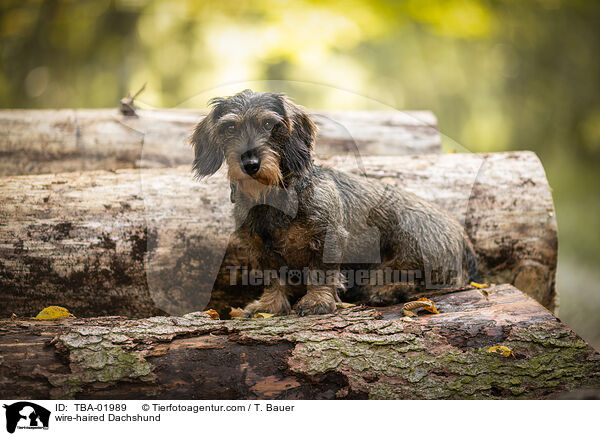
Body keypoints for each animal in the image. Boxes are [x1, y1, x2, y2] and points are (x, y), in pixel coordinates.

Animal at [192, 88, 478, 316]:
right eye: (230, 128)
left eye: (269, 124)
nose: (250, 164)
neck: (273, 199)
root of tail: (465, 241)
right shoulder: (261, 248)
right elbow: (274, 278)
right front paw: (269, 305)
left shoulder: (327, 237)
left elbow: (320, 273)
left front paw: (316, 302)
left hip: (410, 239)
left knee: (418, 281)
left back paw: (387, 290)